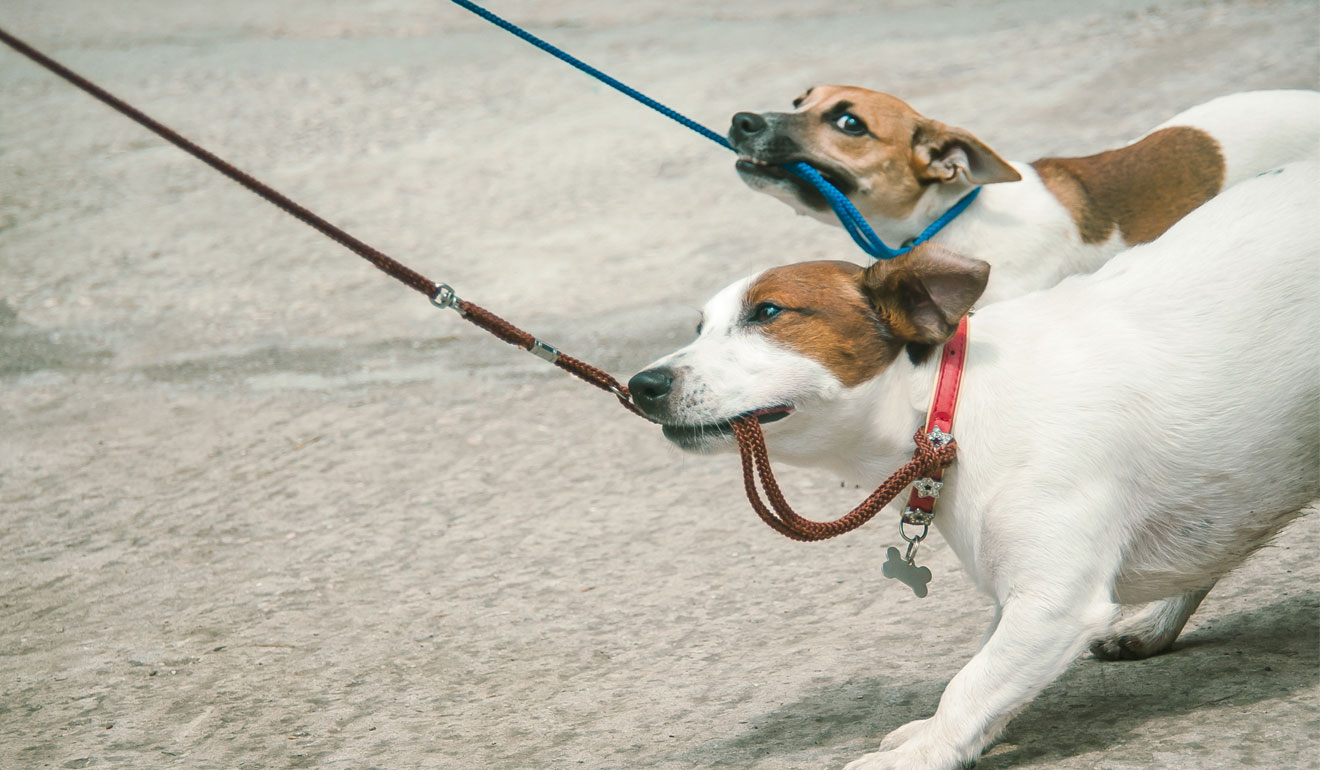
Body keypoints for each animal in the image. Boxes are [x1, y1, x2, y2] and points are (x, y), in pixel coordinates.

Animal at [628, 164, 1320, 770]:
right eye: (700, 326)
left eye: (769, 313)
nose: (641, 384)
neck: (950, 406)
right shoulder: (1021, 595)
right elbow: (985, 683)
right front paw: (940, 737)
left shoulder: (1053, 601)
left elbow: (970, 685)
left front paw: (919, 755)